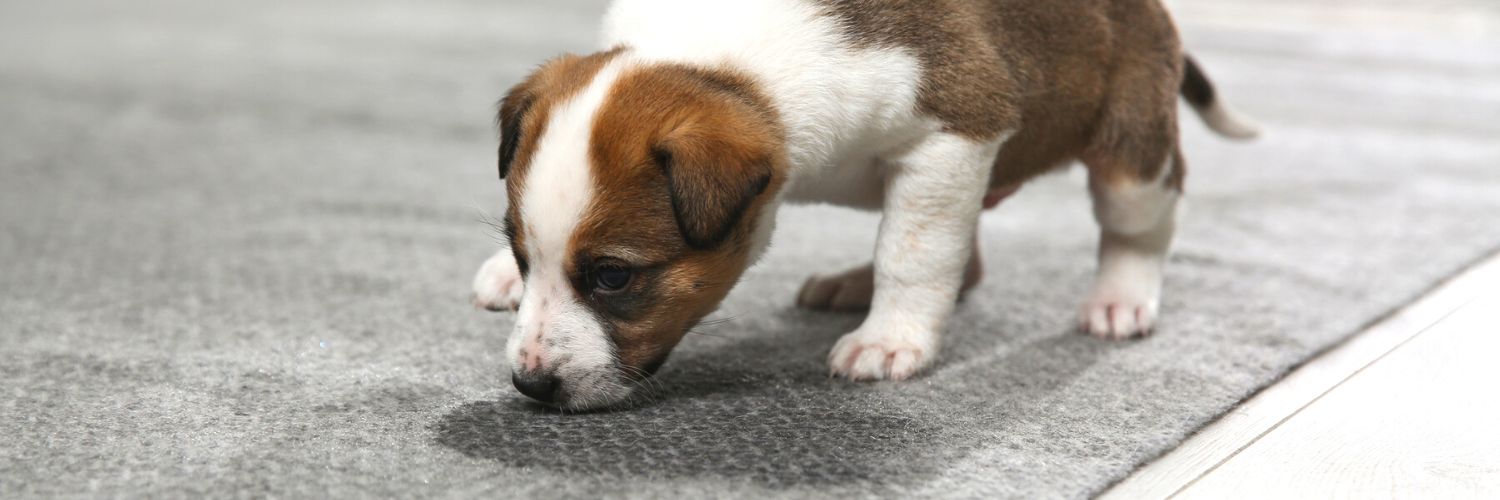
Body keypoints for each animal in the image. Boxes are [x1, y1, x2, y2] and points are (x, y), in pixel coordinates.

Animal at [474, 0, 1260, 408]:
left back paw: (1120, 299)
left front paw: (893, 338)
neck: (717, 60)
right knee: (968, 252)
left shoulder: (955, 135)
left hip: (1131, 150)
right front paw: (508, 275)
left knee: (1140, 222)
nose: (530, 384)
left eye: (614, 277)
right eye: (520, 247)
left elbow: (912, 256)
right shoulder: (946, 162)